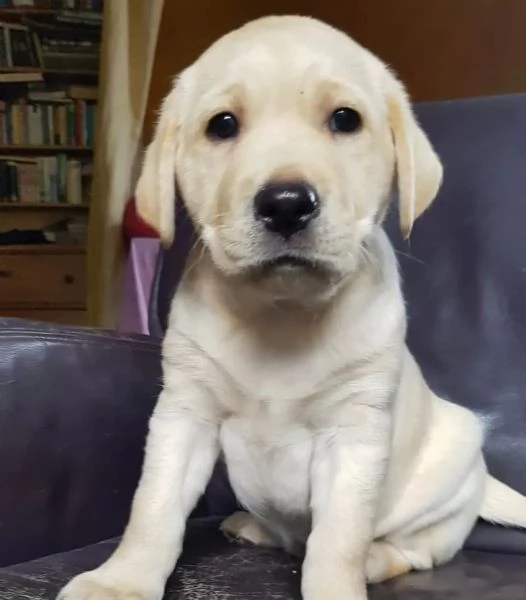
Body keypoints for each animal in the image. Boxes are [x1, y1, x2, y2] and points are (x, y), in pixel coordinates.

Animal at [57, 12, 526, 600]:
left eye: (345, 120)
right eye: (223, 125)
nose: (285, 205)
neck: (281, 311)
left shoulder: (354, 435)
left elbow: (338, 542)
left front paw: (339, 585)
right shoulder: (184, 413)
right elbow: (153, 508)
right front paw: (120, 581)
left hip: (451, 475)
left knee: (412, 550)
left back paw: (376, 559)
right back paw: (253, 526)